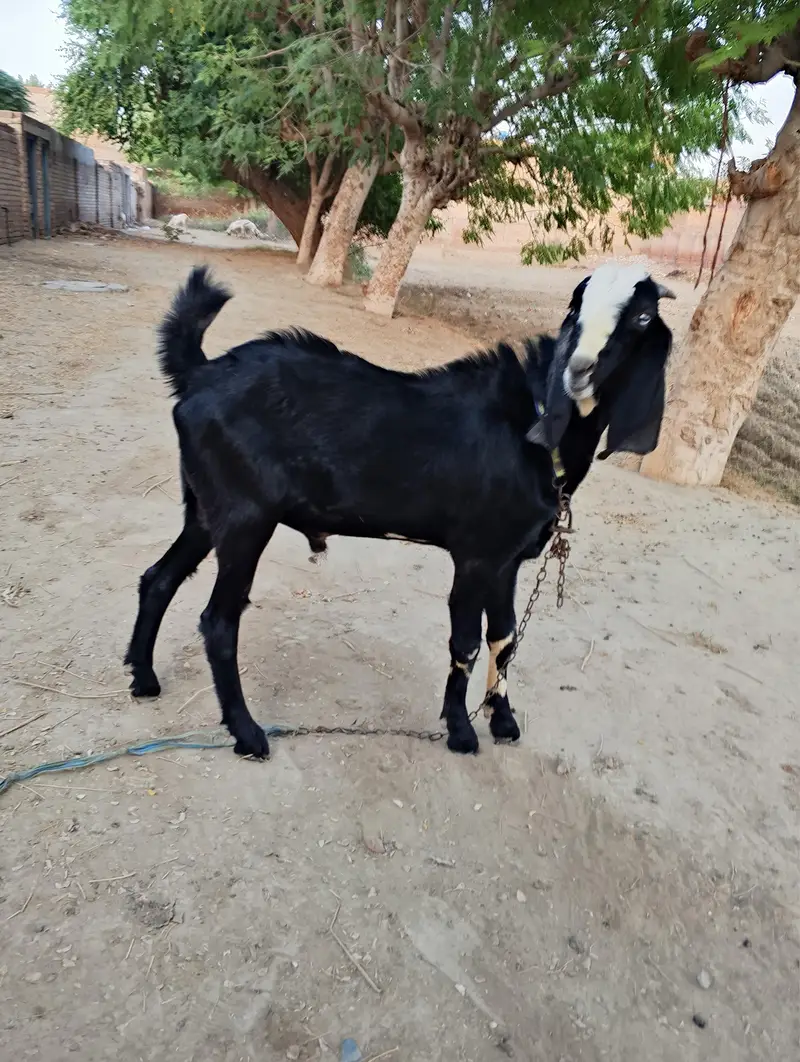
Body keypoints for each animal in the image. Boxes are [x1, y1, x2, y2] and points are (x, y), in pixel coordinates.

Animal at [125, 264, 675, 759]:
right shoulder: (476, 556)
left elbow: (504, 638)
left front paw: (503, 722)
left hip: (205, 509)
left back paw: (143, 678)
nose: (578, 370)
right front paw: (461, 732)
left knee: (159, 577)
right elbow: (466, 642)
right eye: (575, 307)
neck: (531, 430)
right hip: (245, 518)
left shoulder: (508, 560)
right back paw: (248, 734)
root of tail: (200, 374)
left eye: (643, 316)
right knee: (219, 621)